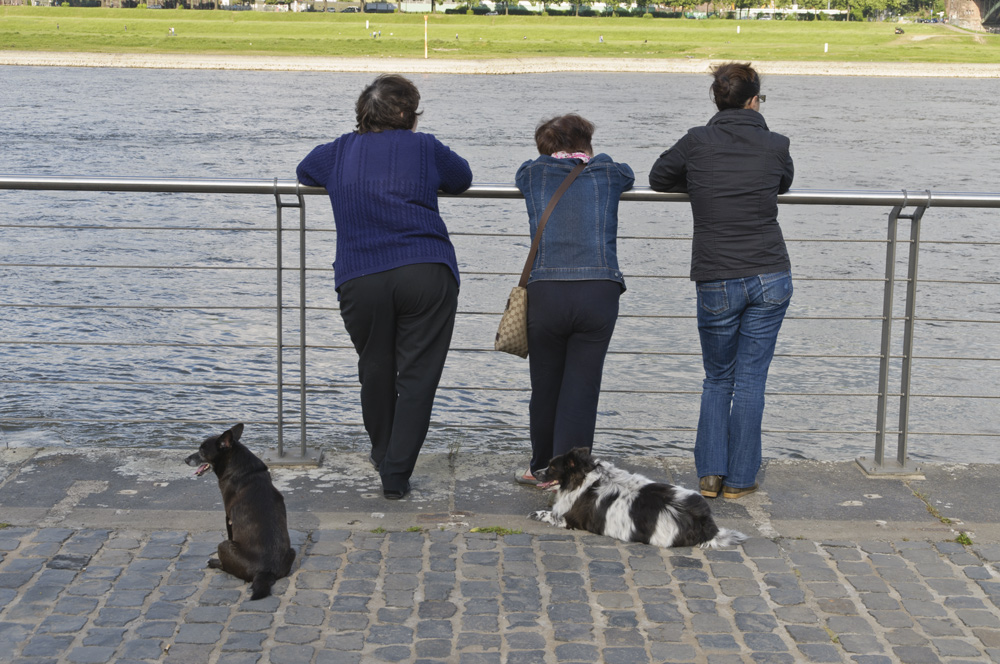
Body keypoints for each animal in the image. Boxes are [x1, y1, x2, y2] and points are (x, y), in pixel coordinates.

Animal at [185, 426, 294, 600]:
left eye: (202, 451)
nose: (185, 459)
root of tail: (266, 572)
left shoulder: (228, 517)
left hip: (223, 545)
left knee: (226, 566)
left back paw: (214, 563)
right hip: (292, 552)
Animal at [532, 446, 744, 548]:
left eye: (551, 467)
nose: (535, 472)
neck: (585, 477)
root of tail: (704, 523)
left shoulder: (568, 519)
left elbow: (548, 514)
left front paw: (537, 513)